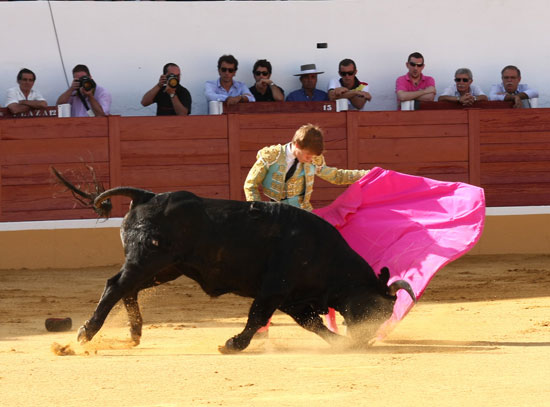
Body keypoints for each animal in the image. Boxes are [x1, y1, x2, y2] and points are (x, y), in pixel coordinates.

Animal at [54, 169, 416, 354]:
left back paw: (134, 333)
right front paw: (233, 344)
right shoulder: (274, 290)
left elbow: (311, 323)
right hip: (147, 259)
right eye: (378, 307)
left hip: (164, 268)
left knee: (127, 289)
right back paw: (85, 333)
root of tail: (147, 195)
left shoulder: (294, 300)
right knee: (115, 285)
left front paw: (339, 342)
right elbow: (257, 318)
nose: (366, 339)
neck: (325, 256)